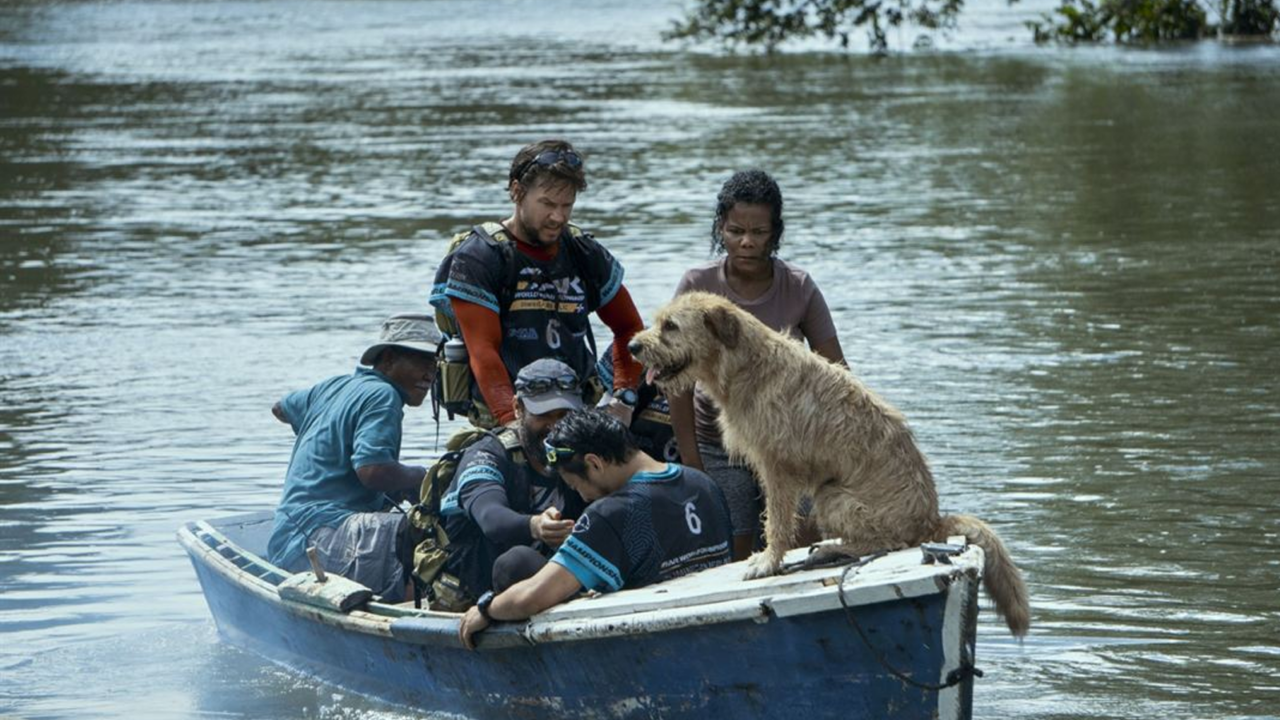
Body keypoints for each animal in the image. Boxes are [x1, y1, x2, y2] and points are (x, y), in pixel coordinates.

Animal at [629, 292, 1029, 632]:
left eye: (671, 326)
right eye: (659, 321)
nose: (633, 346)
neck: (746, 365)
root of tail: (933, 521)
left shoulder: (777, 466)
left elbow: (777, 521)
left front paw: (767, 562)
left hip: (832, 496)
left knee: (889, 542)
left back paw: (835, 548)